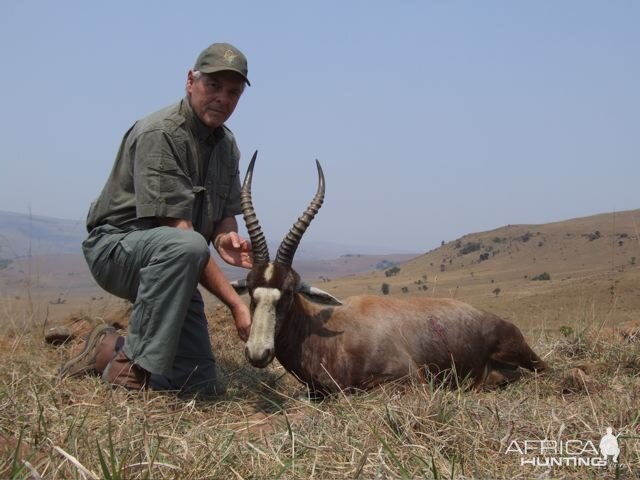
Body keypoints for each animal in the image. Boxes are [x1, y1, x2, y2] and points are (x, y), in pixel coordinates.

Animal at [232, 153, 548, 394]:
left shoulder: (408, 380)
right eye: (251, 289)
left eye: (288, 291)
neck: (336, 334)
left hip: (527, 358)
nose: (258, 353)